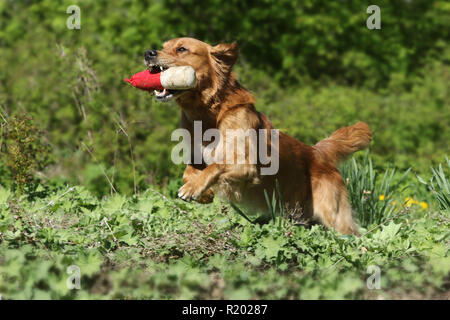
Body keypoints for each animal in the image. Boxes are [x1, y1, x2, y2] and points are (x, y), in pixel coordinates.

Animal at [145, 37, 372, 235]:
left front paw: (193, 188)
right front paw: (202, 193)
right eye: (163, 46)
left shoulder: (247, 165)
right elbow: (189, 171)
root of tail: (318, 152)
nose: (148, 53)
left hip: (333, 215)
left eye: (182, 49)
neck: (209, 112)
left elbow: (217, 166)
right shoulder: (197, 156)